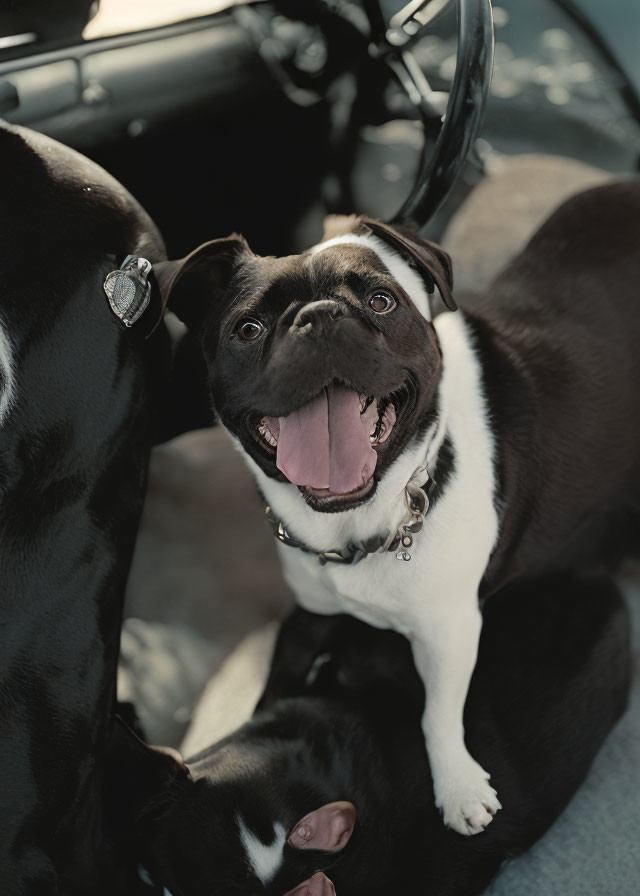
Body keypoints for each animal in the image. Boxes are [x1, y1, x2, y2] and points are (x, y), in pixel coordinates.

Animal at [154, 186, 640, 836]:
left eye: (382, 301)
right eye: (248, 328)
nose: (319, 317)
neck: (364, 521)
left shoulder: (450, 631)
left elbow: (438, 712)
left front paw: (457, 787)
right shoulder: (310, 613)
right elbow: (278, 682)